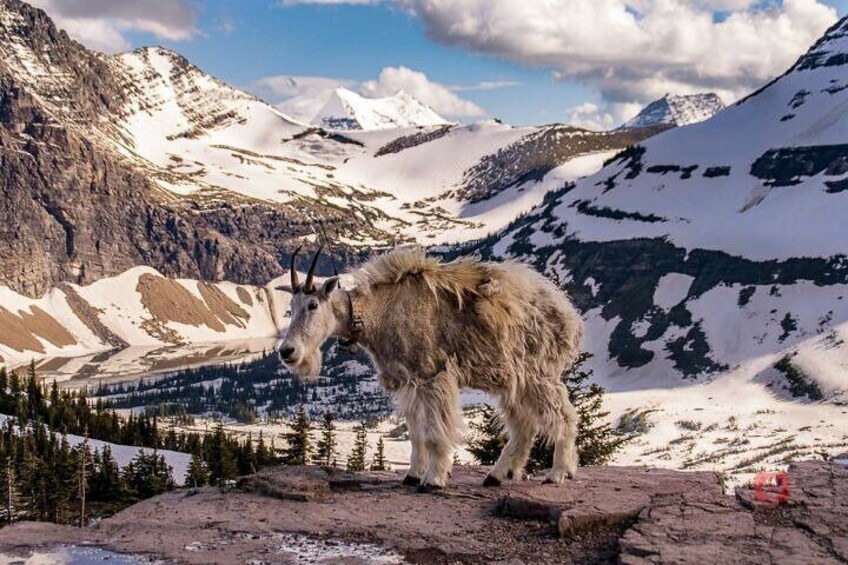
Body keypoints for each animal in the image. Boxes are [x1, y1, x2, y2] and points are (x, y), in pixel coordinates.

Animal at [278, 246, 584, 490]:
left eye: (313, 304)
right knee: (524, 425)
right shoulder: (408, 381)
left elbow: (436, 432)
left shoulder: (432, 376)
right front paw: (412, 475)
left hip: (538, 373)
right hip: (511, 379)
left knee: (564, 415)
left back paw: (558, 473)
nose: (286, 351)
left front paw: (433, 480)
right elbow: (416, 433)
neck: (378, 314)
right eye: (291, 305)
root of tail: (569, 314)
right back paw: (497, 475)